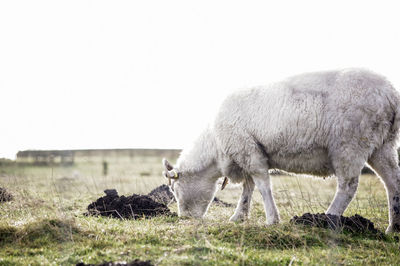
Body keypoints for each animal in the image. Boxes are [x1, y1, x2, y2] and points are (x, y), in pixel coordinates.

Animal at [162, 68, 400, 233]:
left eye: (175, 190)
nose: (185, 218)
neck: (215, 146)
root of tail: (391, 95)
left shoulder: (248, 150)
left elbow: (262, 185)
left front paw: (271, 220)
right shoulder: (246, 153)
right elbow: (248, 188)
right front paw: (239, 216)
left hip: (350, 143)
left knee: (348, 186)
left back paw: (326, 219)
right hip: (382, 146)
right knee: (392, 182)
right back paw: (393, 228)